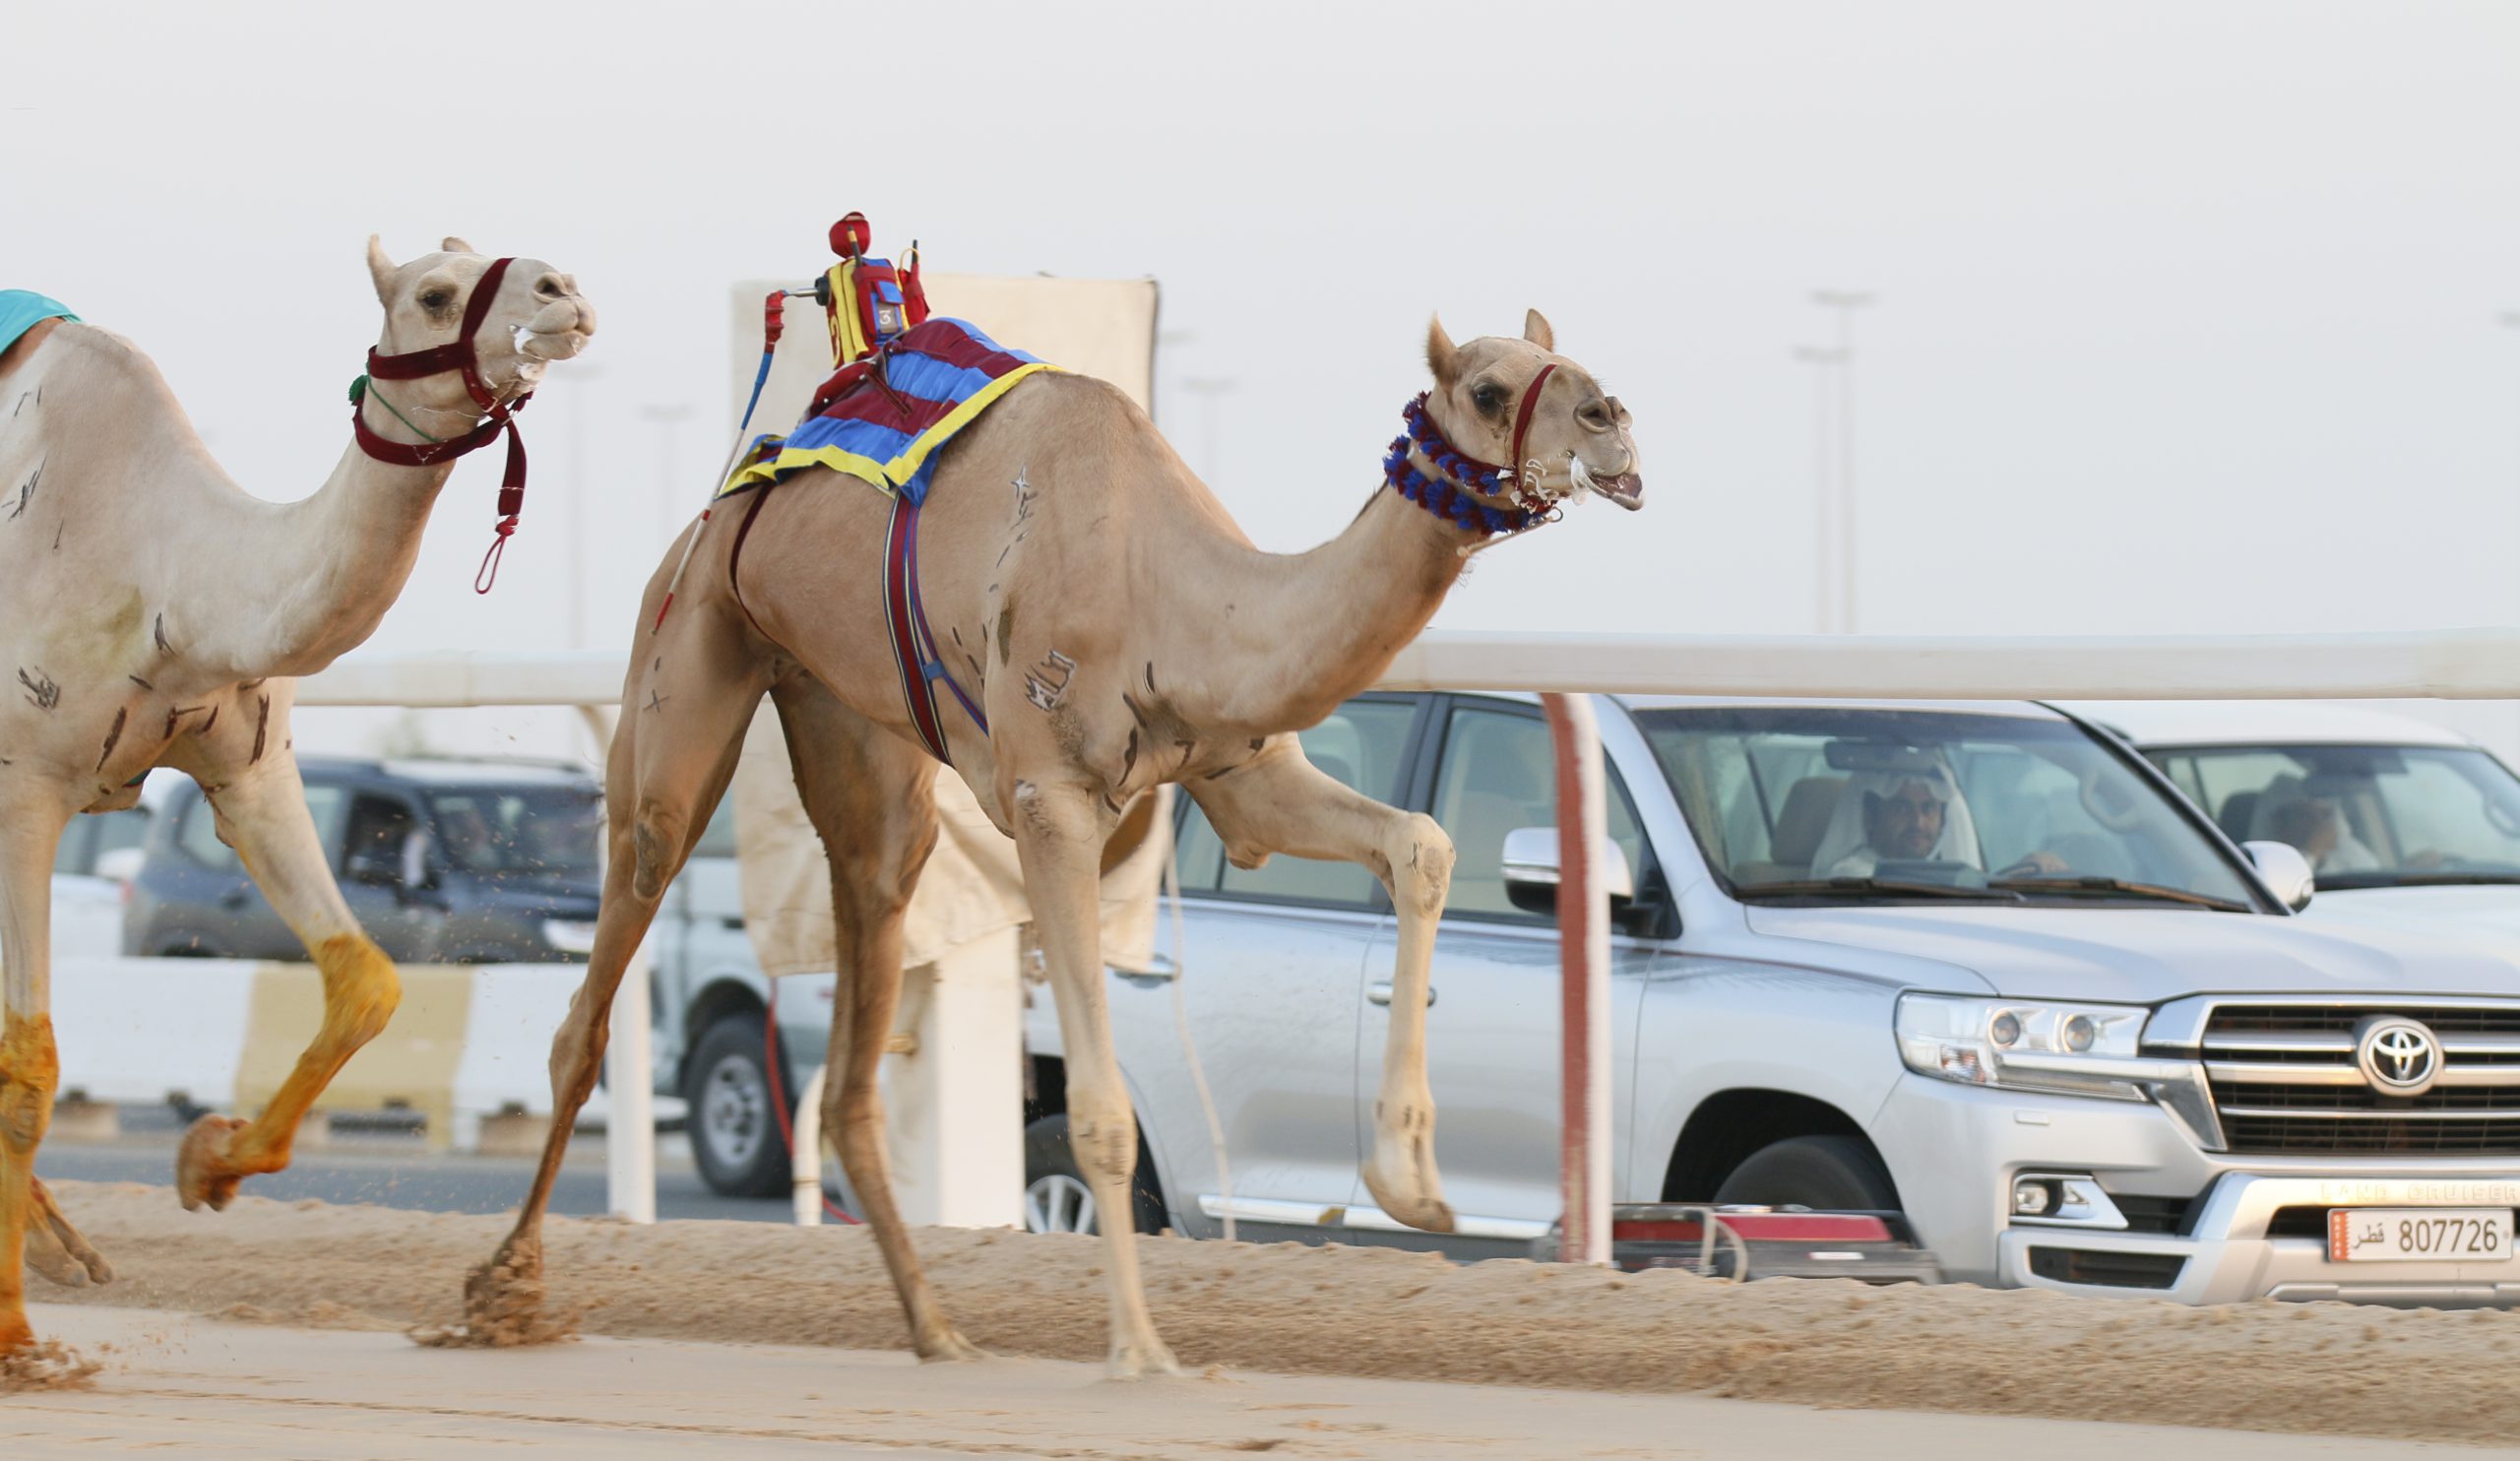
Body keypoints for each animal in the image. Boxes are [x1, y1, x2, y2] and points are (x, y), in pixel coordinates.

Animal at [469, 304, 1653, 1369]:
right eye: (1491, 389)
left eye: (1565, 362)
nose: (1613, 424)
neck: (1169, 587)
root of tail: (728, 501)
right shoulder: (1050, 799)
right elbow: (1101, 1111)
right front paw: (1139, 1348)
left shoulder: (1241, 773)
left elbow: (1422, 845)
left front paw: (1412, 1183)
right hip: (692, 639)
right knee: (611, 951)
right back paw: (501, 1290)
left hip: (846, 723)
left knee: (860, 998)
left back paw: (937, 1328)